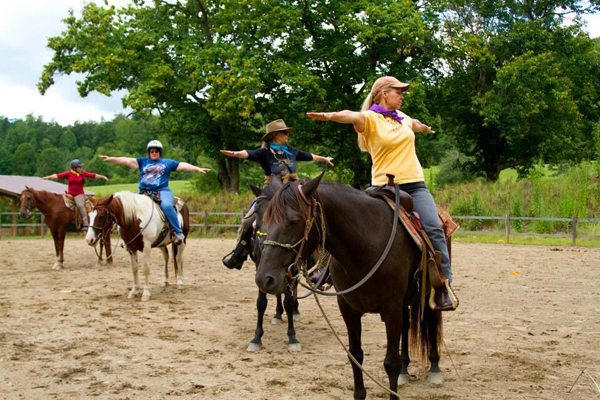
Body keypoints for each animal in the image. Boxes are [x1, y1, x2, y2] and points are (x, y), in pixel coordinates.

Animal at [255, 174, 442, 400]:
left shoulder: (391, 308)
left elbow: (391, 363)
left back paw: (435, 368)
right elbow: (356, 356)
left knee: (433, 321)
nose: (264, 279)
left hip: (431, 294)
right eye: (264, 220)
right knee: (406, 328)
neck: (365, 244)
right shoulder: (348, 308)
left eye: (293, 221)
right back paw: (406, 371)